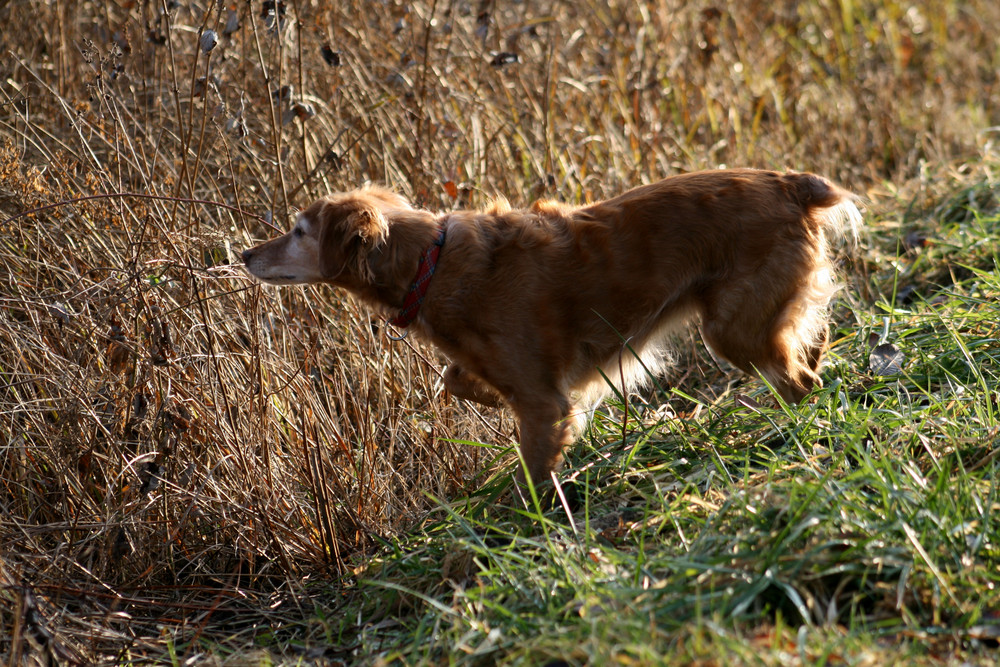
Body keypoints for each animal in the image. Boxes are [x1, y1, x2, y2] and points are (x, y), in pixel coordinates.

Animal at [242, 171, 860, 486]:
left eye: (298, 231)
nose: (244, 254)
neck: (429, 266)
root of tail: (790, 184)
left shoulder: (542, 402)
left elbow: (533, 465)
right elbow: (454, 378)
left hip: (729, 329)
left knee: (800, 380)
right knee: (805, 350)